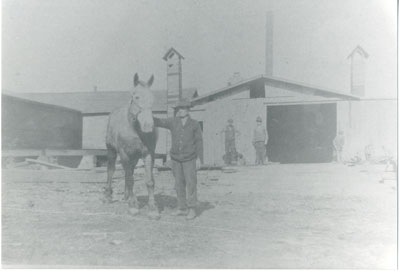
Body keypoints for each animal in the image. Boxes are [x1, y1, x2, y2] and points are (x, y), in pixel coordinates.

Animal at [103, 73, 159, 220]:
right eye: (136, 97)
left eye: (152, 98)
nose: (148, 126)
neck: (135, 130)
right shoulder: (124, 154)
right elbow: (129, 179)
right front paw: (133, 207)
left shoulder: (148, 154)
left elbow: (149, 181)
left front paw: (152, 209)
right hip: (112, 151)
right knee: (111, 171)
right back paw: (108, 196)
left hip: (134, 158)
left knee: (130, 172)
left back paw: (127, 196)